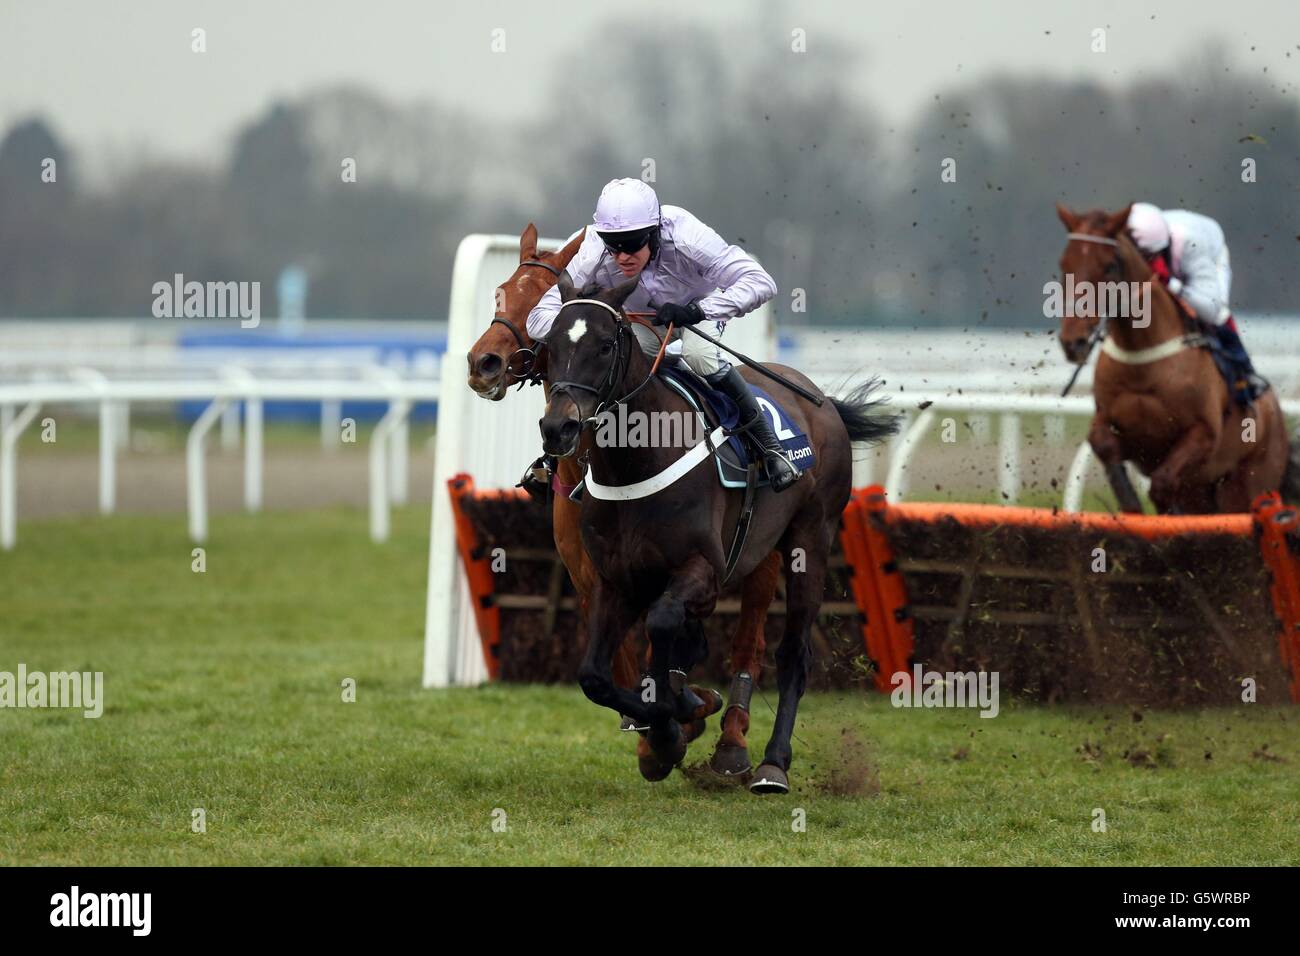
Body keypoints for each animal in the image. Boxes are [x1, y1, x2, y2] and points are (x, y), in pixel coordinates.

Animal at [462, 223, 774, 780]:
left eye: (540, 300)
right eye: (500, 294)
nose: (484, 363)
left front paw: (677, 717)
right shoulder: (594, 574)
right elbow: (623, 655)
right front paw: (659, 728)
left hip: (764, 559)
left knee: (750, 641)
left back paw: (732, 742)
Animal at [1055, 204, 1289, 515]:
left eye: (1108, 267)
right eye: (1064, 264)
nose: (1073, 342)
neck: (1142, 363)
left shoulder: (1203, 436)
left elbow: (1163, 483)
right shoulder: (1112, 424)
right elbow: (1102, 443)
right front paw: (1129, 501)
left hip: (1247, 485)